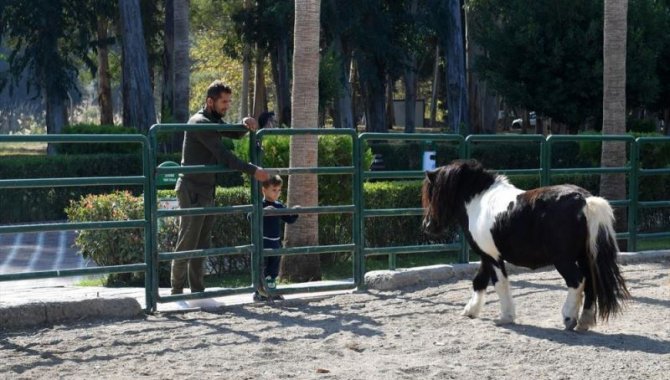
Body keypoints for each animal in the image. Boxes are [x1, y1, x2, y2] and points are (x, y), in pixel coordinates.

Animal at [422, 159, 632, 332]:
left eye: (434, 194)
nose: (427, 226)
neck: (479, 203)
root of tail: (584, 200)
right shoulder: (486, 255)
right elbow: (479, 281)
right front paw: (471, 310)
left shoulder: (493, 257)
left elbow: (500, 283)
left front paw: (506, 317)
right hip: (585, 257)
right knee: (590, 283)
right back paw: (584, 321)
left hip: (564, 260)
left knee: (577, 282)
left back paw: (569, 318)